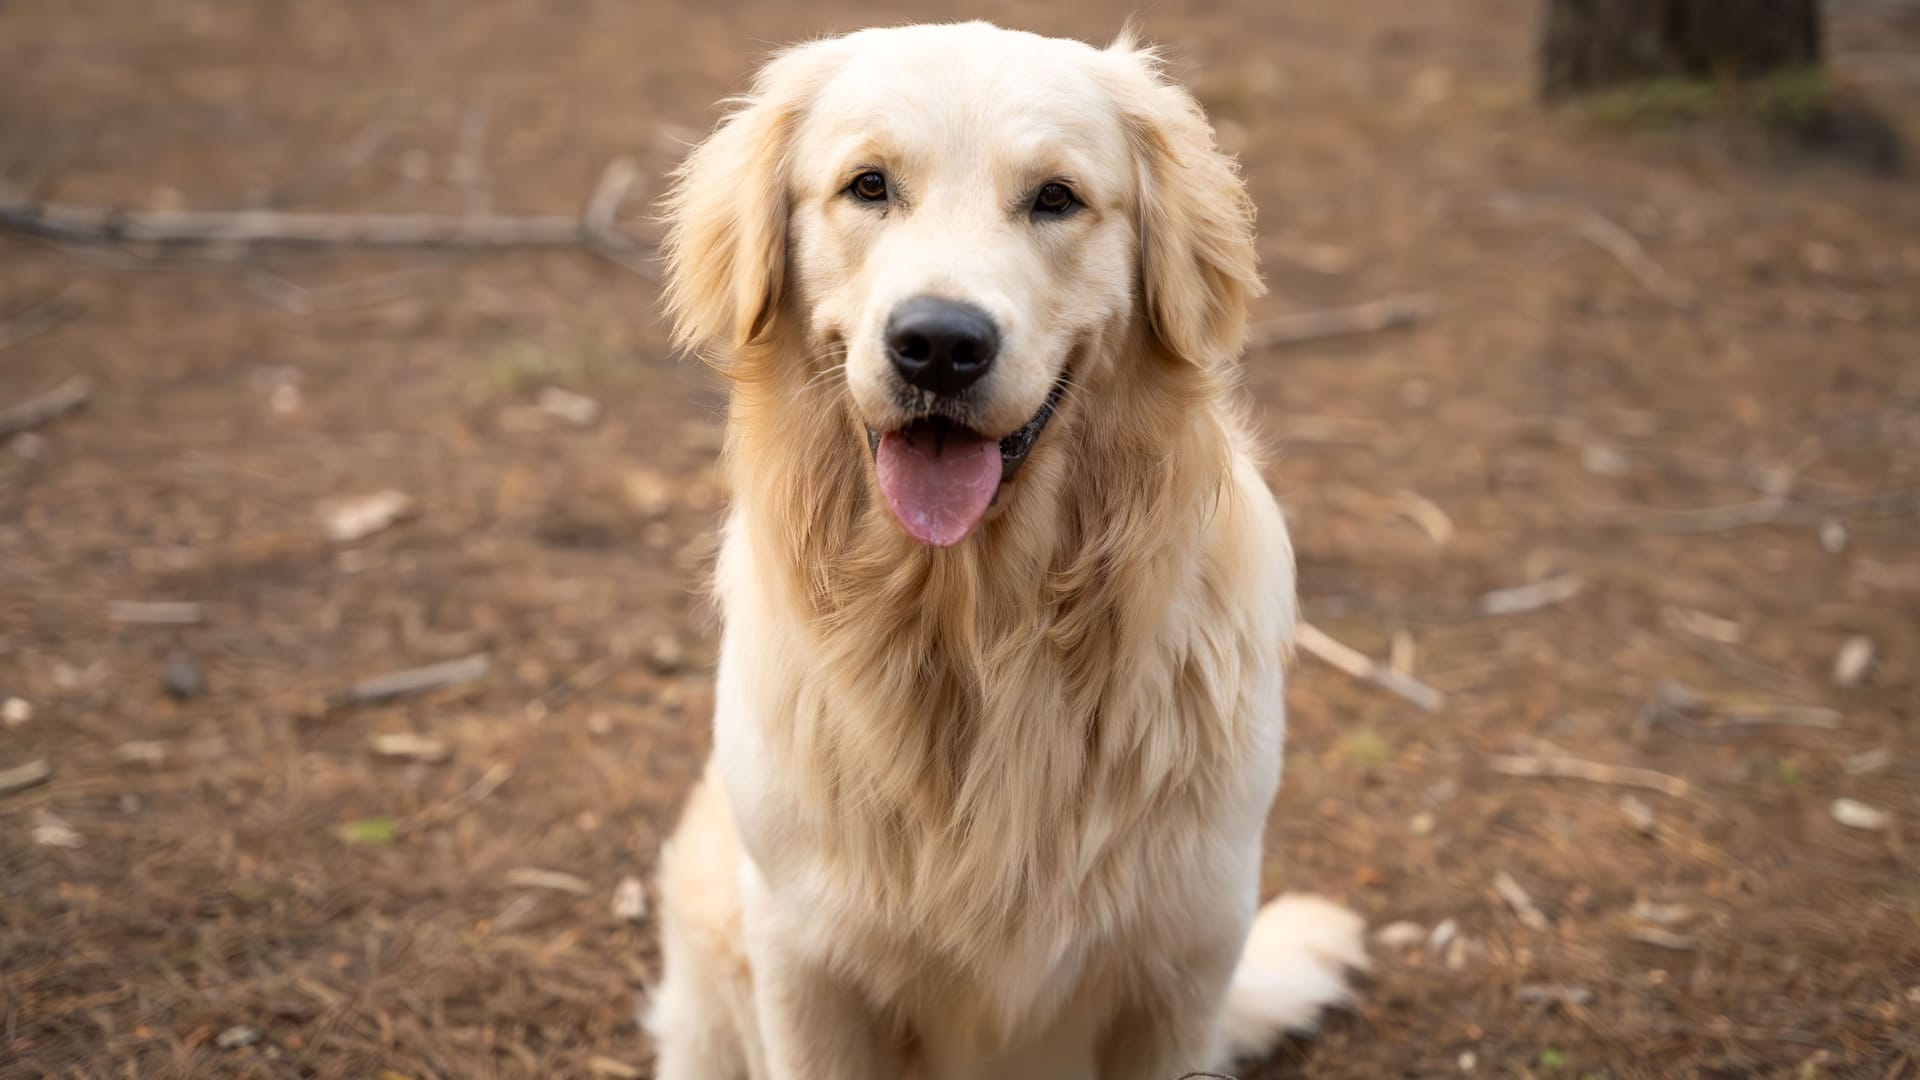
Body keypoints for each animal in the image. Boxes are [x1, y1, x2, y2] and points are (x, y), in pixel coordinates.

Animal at [645, 25, 1367, 1076]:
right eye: (868, 185)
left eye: (1055, 198)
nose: (940, 344)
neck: (978, 626)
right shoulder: (805, 961)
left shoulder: (1183, 960)